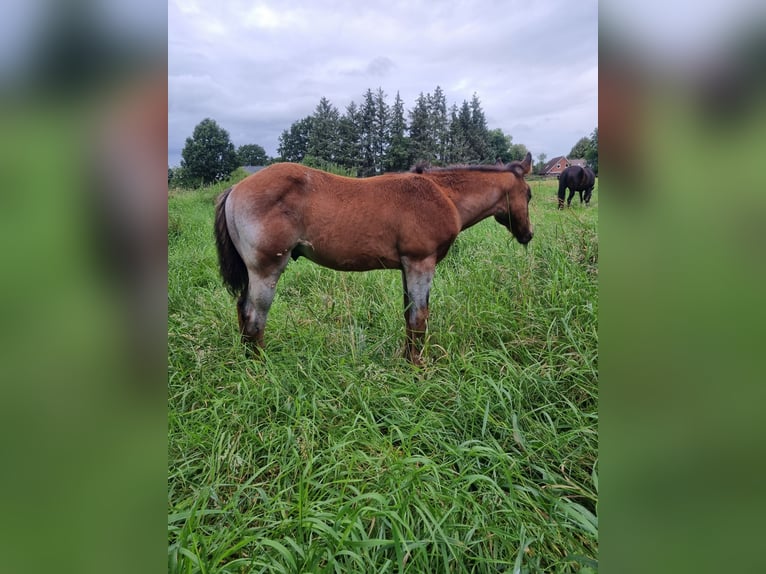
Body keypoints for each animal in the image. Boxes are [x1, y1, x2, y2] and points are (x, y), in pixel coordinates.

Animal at [214, 152, 533, 364]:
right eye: (529, 194)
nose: (528, 234)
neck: (443, 196)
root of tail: (235, 188)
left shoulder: (407, 266)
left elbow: (408, 314)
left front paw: (405, 360)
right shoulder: (421, 262)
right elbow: (420, 317)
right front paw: (418, 366)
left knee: (242, 310)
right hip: (266, 270)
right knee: (254, 316)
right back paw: (260, 368)